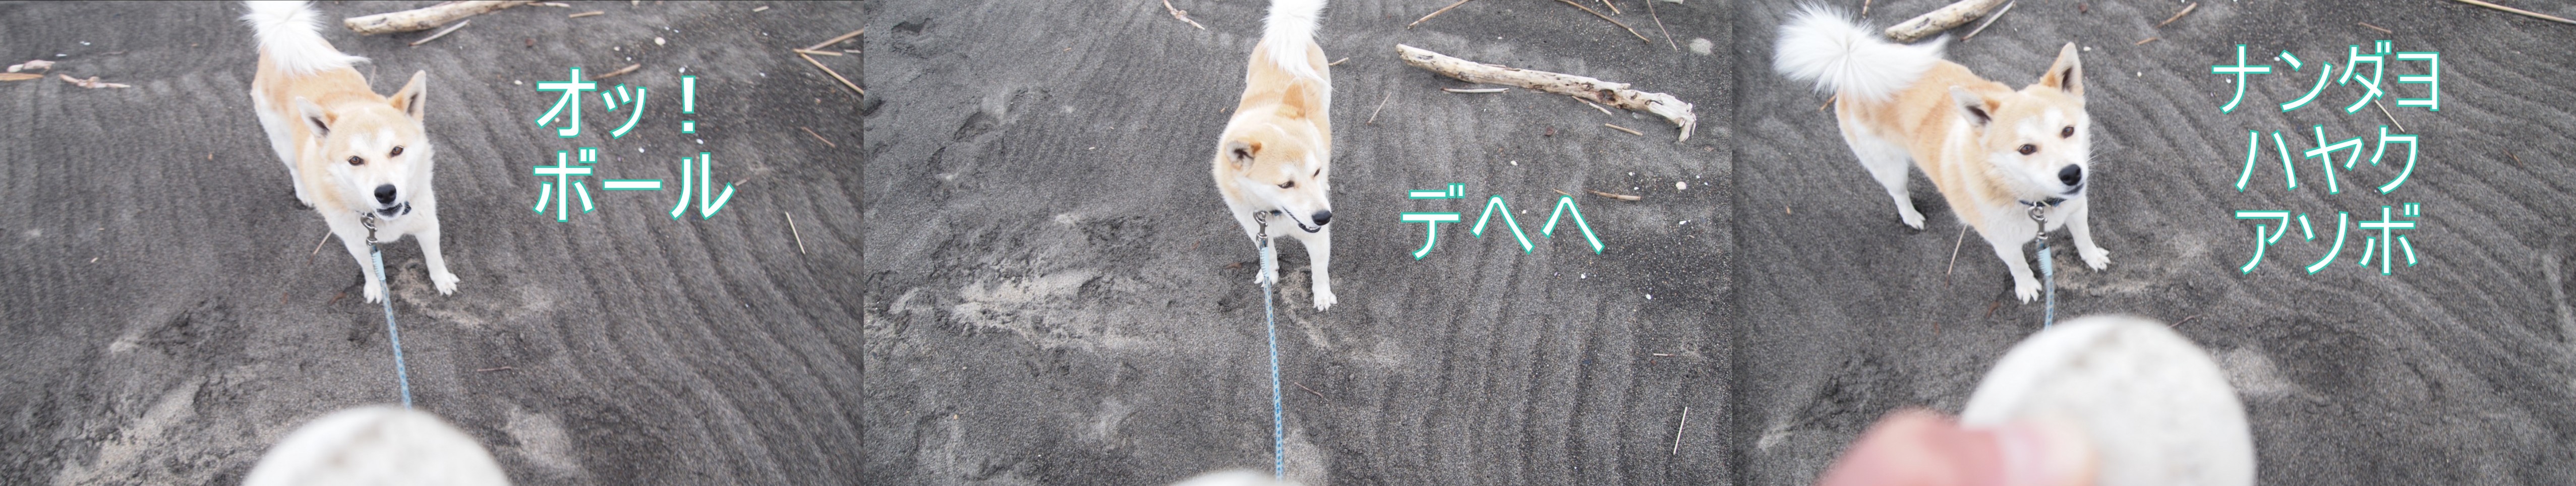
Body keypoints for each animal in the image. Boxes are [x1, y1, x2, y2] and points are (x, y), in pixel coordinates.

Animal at [245, 0, 456, 303]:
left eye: (397, 150)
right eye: (355, 160)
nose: (385, 193)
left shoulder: (427, 224)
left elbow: (434, 258)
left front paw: (442, 280)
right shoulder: (358, 243)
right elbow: (369, 269)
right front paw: (375, 288)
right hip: (282, 143)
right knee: (294, 169)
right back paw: (303, 192)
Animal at [1212, 0, 1335, 310]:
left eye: (1315, 172)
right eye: (1285, 184)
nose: (1324, 217)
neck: (1273, 212)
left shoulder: (1318, 237)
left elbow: (1319, 270)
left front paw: (1322, 296)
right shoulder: (1254, 228)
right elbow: (1268, 254)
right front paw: (1270, 274)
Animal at [1774, 5, 2107, 302]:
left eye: (2068, 130)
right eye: (2026, 149)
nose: (2072, 173)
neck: (2033, 201)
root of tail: (1854, 61)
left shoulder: (2077, 209)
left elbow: (2083, 237)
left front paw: (2092, 257)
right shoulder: (2004, 244)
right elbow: (2018, 267)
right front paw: (2026, 286)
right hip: (1889, 167)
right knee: (1898, 192)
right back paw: (1911, 216)